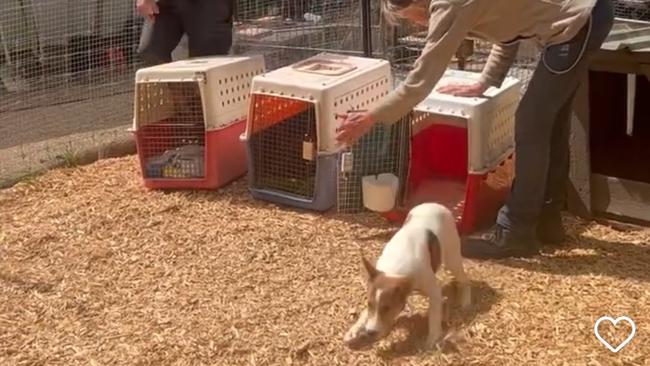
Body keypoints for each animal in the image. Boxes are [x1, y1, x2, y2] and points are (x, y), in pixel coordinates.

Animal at [342, 203, 468, 348]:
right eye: (369, 304)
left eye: (387, 308)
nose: (370, 332)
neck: (394, 269)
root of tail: (436, 204)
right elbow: (365, 314)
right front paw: (354, 330)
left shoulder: (434, 291)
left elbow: (434, 316)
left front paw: (432, 338)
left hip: (452, 260)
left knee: (464, 279)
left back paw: (465, 301)